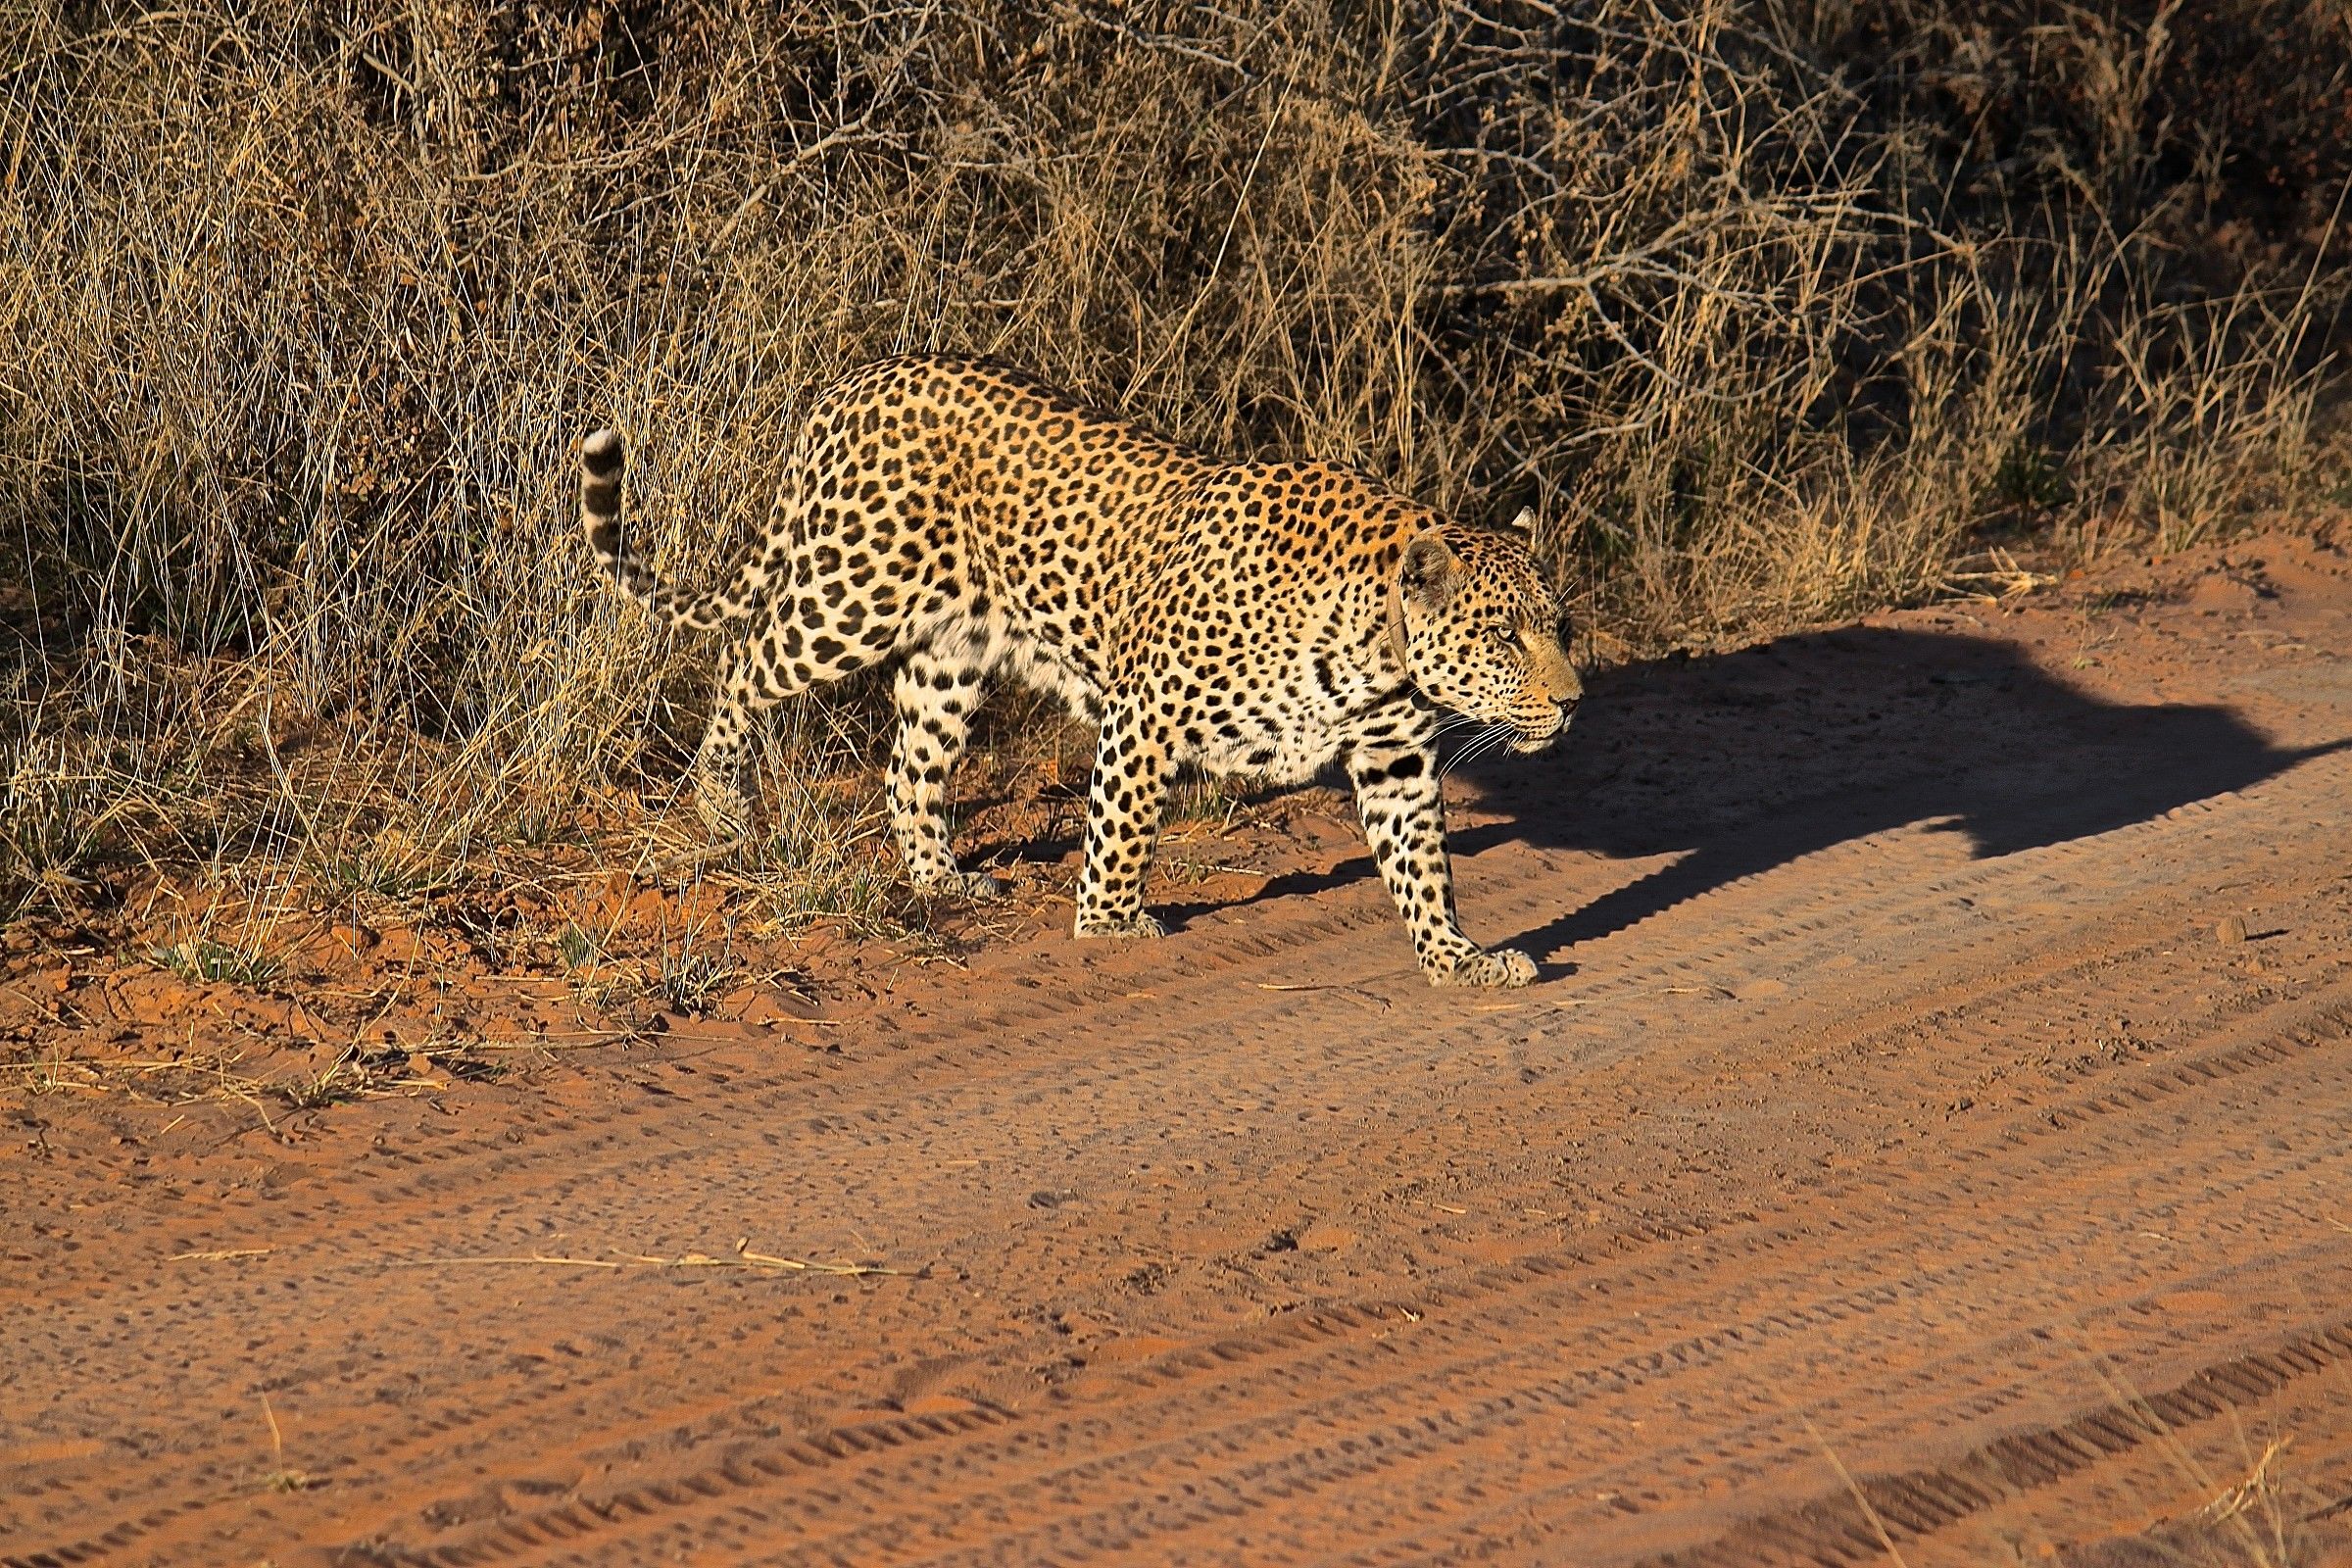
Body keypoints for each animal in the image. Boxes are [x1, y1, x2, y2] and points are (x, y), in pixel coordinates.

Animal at [580, 355, 1581, 988]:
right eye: (1504, 637)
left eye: (1560, 627)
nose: (1574, 703)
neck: (1376, 647)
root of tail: (864, 377)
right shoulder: (1149, 709)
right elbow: (1123, 829)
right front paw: (1109, 925)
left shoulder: (1395, 757)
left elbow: (1423, 866)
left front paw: (1458, 959)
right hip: (848, 600)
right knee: (740, 659)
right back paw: (720, 800)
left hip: (949, 655)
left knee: (909, 766)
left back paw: (940, 877)